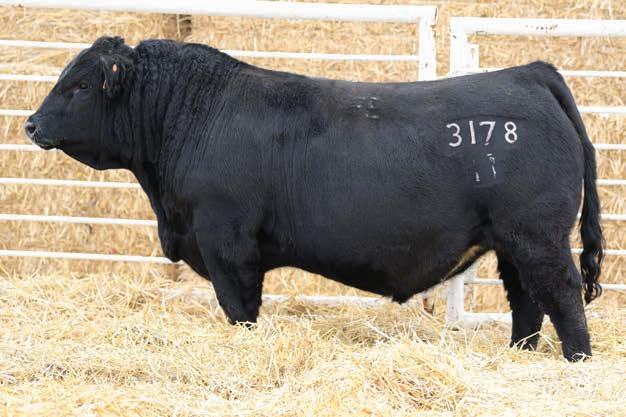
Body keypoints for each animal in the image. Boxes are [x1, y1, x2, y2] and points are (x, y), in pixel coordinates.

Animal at [25, 36, 603, 361]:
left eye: (80, 85)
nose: (30, 124)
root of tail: (529, 72)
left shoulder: (226, 243)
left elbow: (240, 310)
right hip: (511, 242)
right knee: (526, 303)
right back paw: (519, 357)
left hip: (537, 235)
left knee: (562, 293)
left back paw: (576, 361)